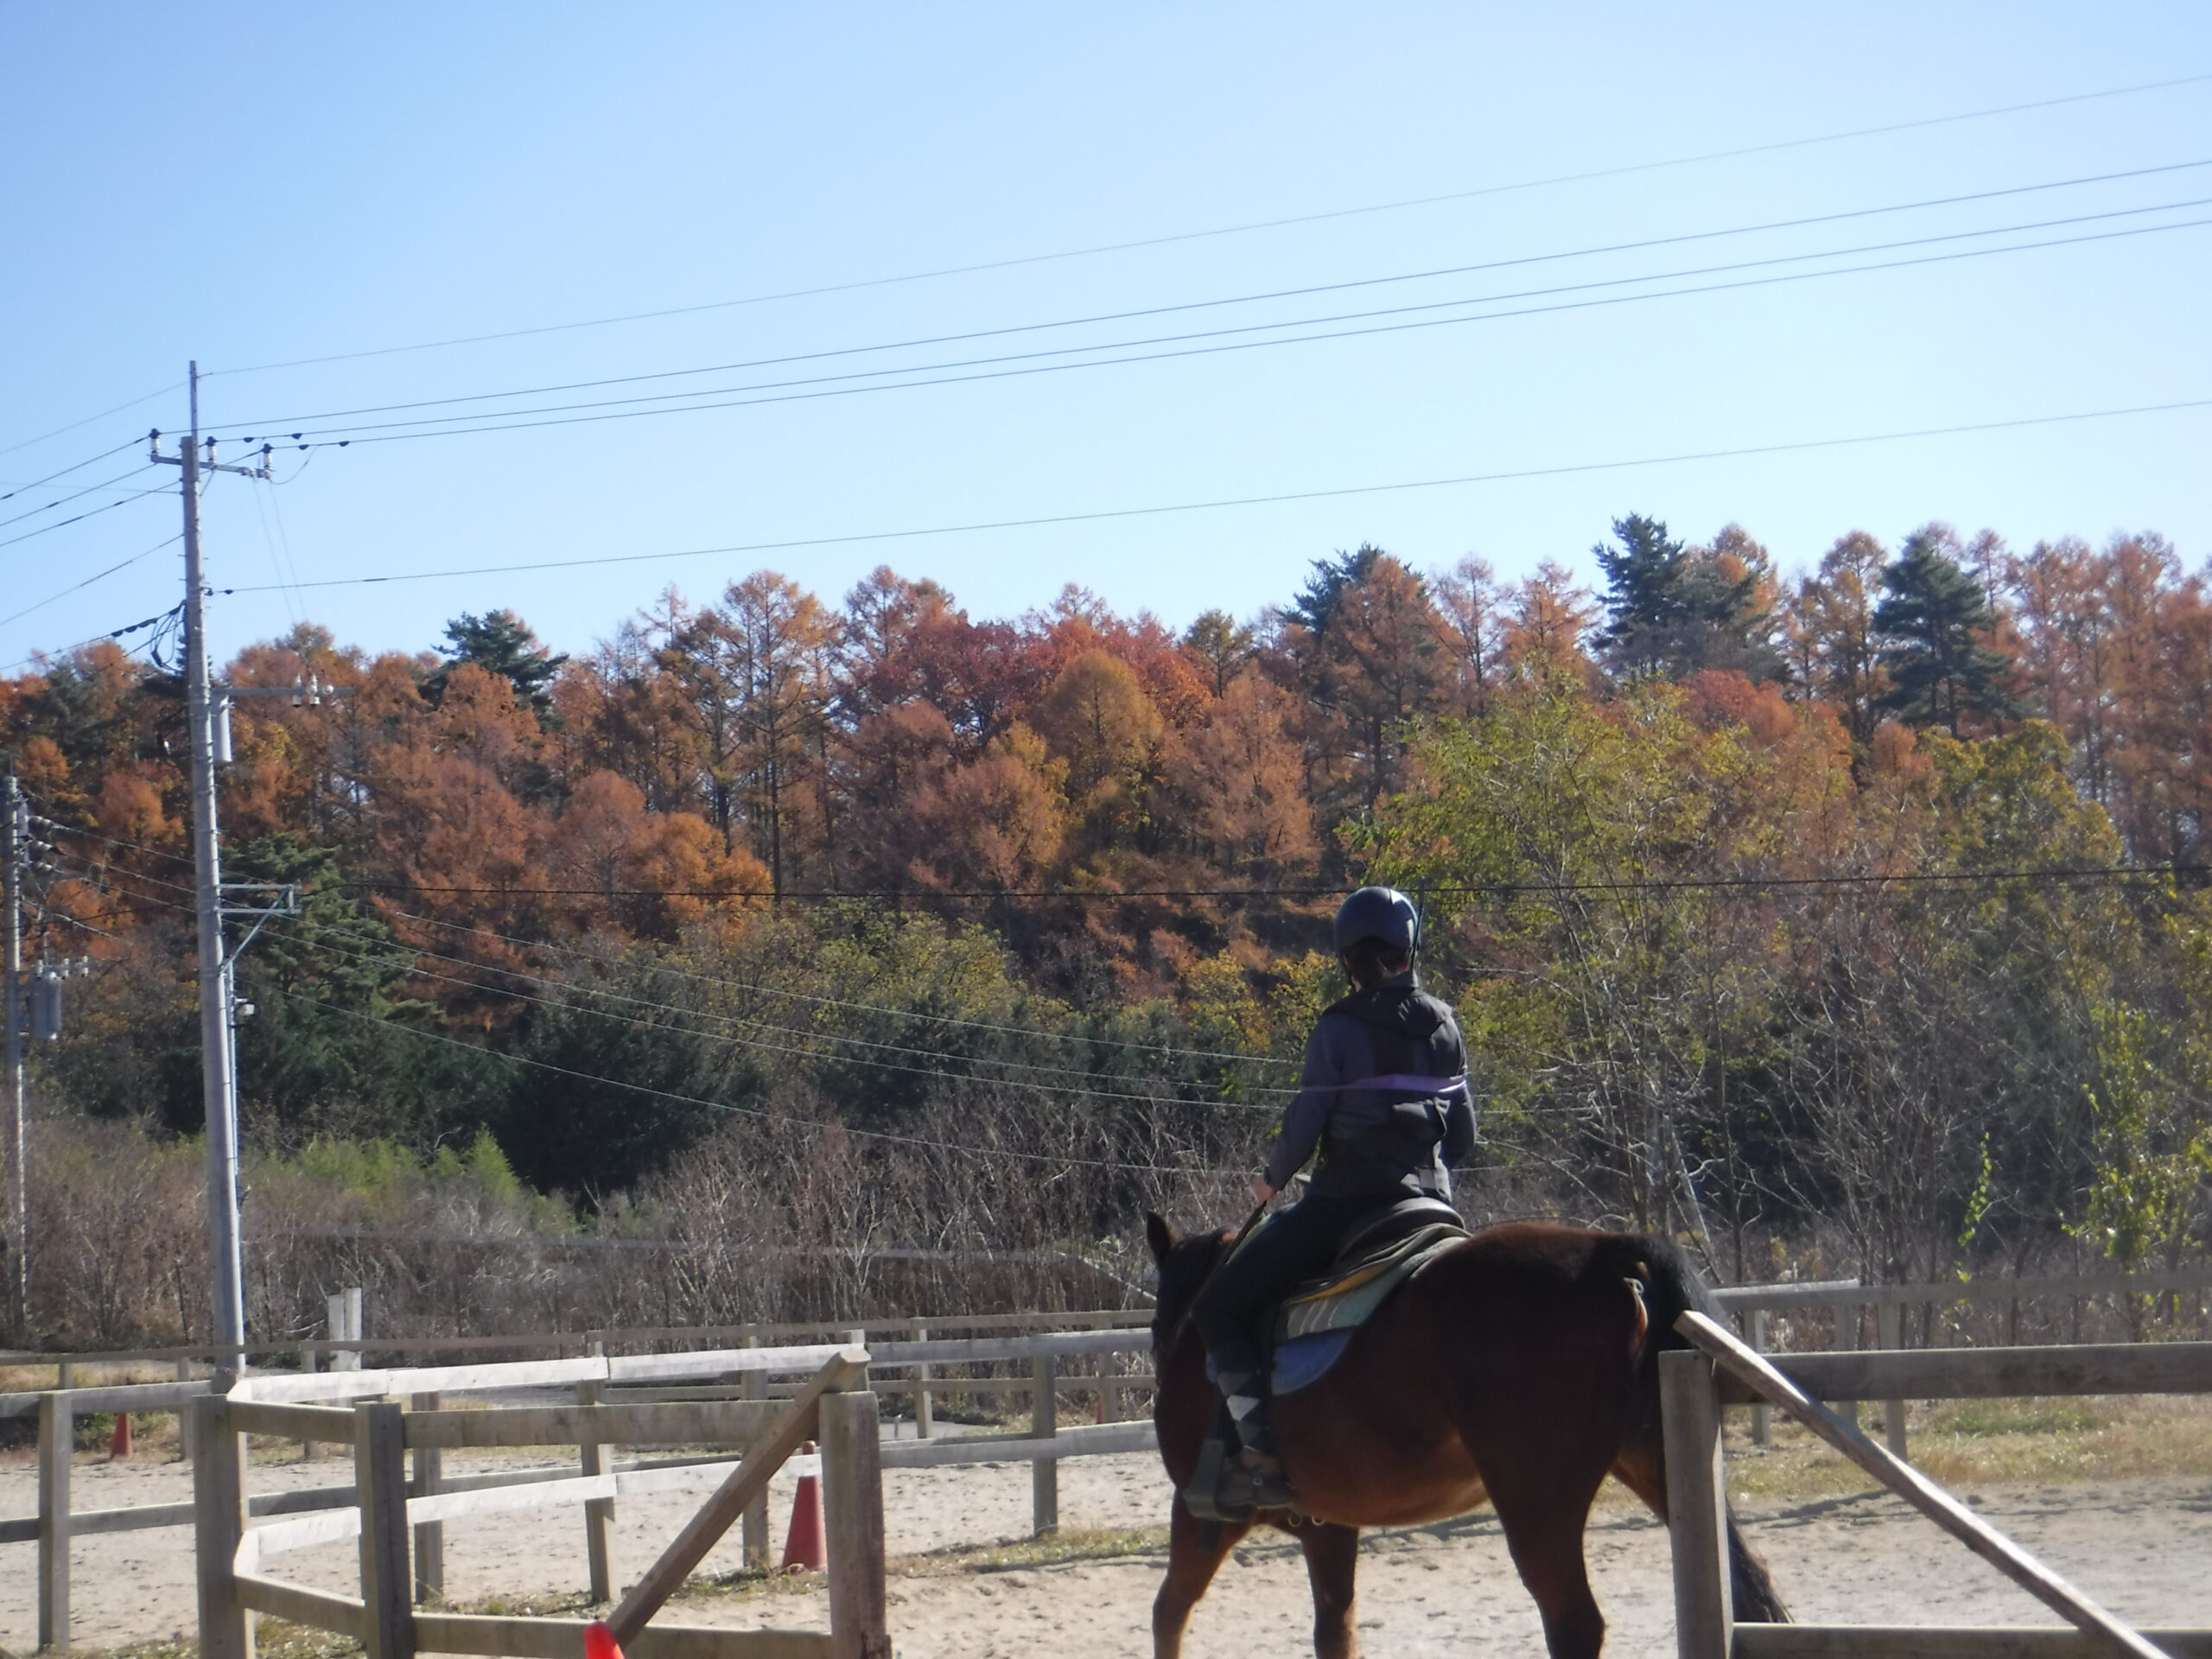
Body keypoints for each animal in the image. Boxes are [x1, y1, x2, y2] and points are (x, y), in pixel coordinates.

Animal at [1144, 1212, 1788, 1659]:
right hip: (1658, 1465)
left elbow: (1169, 1613)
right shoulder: (1328, 1527)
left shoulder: (1201, 1513)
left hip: (1535, 1504)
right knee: (1750, 1586)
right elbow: (1336, 1633)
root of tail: (1610, 1251)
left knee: (1574, 1623)